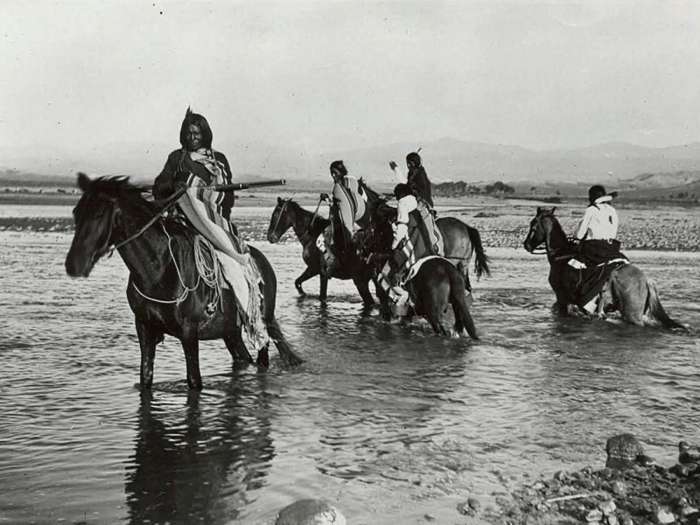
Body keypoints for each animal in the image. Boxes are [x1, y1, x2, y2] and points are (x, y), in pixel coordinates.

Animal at [65, 173, 304, 388]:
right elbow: (145, 379)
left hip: (260, 321)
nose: (74, 265)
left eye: (99, 214)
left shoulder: (189, 334)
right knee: (243, 357)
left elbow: (194, 381)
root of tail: (262, 261)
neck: (160, 269)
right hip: (231, 332)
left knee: (262, 358)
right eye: (76, 212)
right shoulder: (144, 328)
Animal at [358, 199, 478, 338]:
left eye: (373, 227)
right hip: (458, 304)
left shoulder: (387, 306)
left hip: (434, 315)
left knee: (442, 332)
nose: (362, 247)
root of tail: (449, 273)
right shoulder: (406, 314)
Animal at [524, 207, 688, 330]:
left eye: (533, 225)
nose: (526, 245)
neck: (562, 255)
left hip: (632, 315)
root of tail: (646, 281)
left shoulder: (562, 298)